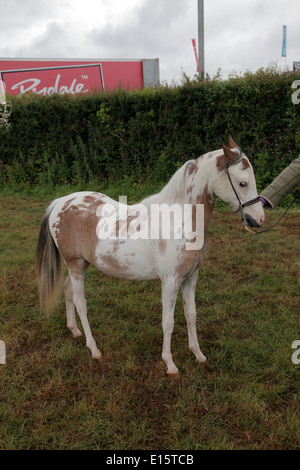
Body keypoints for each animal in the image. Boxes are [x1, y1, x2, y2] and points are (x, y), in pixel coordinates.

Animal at [37, 137, 264, 374]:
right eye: (242, 183)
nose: (258, 219)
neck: (181, 219)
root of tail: (61, 202)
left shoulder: (191, 277)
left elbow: (191, 315)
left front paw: (198, 354)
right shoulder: (170, 281)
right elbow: (168, 322)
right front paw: (170, 364)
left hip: (80, 265)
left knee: (67, 290)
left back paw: (74, 331)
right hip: (76, 265)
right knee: (80, 302)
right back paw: (94, 349)